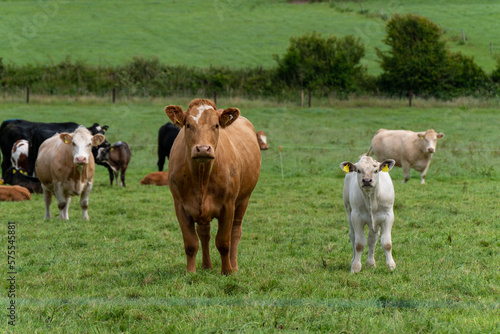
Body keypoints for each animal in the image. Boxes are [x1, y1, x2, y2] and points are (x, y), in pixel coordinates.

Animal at [167, 97, 262, 274]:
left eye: (216, 125)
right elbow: (191, 243)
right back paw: (206, 265)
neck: (201, 178)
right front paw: (190, 272)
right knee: (204, 233)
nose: (203, 149)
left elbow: (223, 242)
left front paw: (227, 271)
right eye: (188, 125)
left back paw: (234, 265)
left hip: (244, 199)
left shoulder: (228, 205)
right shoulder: (180, 206)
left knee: (235, 232)